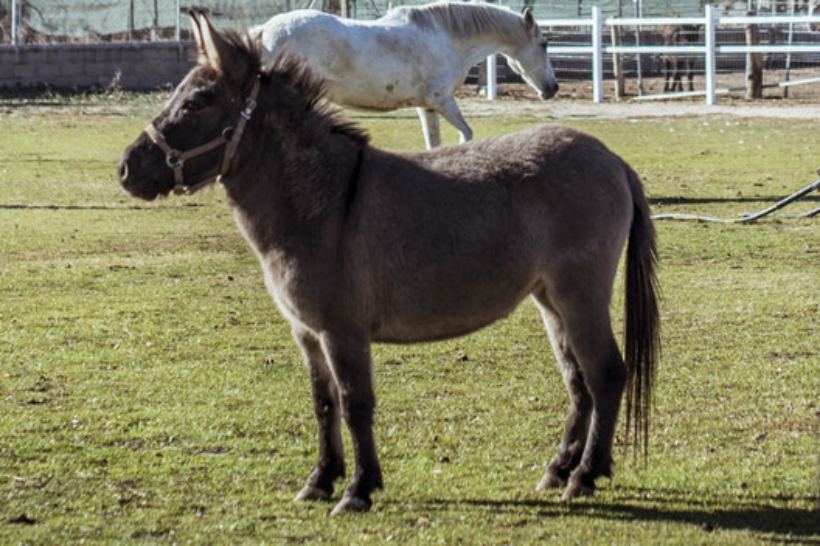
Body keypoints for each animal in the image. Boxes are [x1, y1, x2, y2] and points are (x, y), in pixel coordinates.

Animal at [251, 1, 556, 148]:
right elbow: (467, 134)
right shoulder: (442, 101)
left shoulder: (427, 107)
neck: (446, 38)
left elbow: (434, 145)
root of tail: (266, 32)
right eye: (544, 44)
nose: (553, 88)